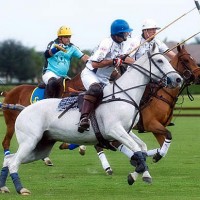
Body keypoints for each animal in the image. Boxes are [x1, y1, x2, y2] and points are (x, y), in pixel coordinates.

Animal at [0, 44, 182, 195]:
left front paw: (141, 174)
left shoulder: (126, 130)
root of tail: (23, 109)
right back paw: (21, 189)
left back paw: (4, 187)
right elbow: (137, 148)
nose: (178, 79)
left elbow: (142, 148)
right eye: (160, 60)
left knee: (9, 160)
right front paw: (135, 174)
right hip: (30, 141)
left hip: (41, 147)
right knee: (13, 161)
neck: (124, 94)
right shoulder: (114, 130)